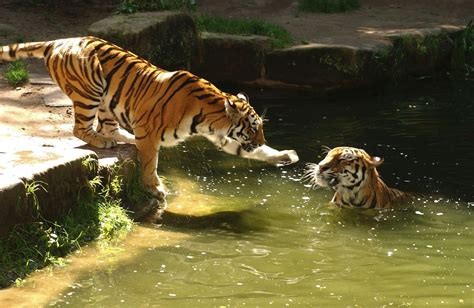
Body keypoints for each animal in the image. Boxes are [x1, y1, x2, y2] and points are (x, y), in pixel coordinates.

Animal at [0, 36, 298, 202]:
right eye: (253, 127)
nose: (261, 139)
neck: (213, 117)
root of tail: (58, 41)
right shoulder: (149, 131)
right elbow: (149, 164)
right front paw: (155, 189)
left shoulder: (221, 137)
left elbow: (250, 152)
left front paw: (285, 155)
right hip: (91, 89)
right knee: (80, 128)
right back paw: (103, 142)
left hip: (108, 101)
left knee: (107, 127)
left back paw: (122, 137)